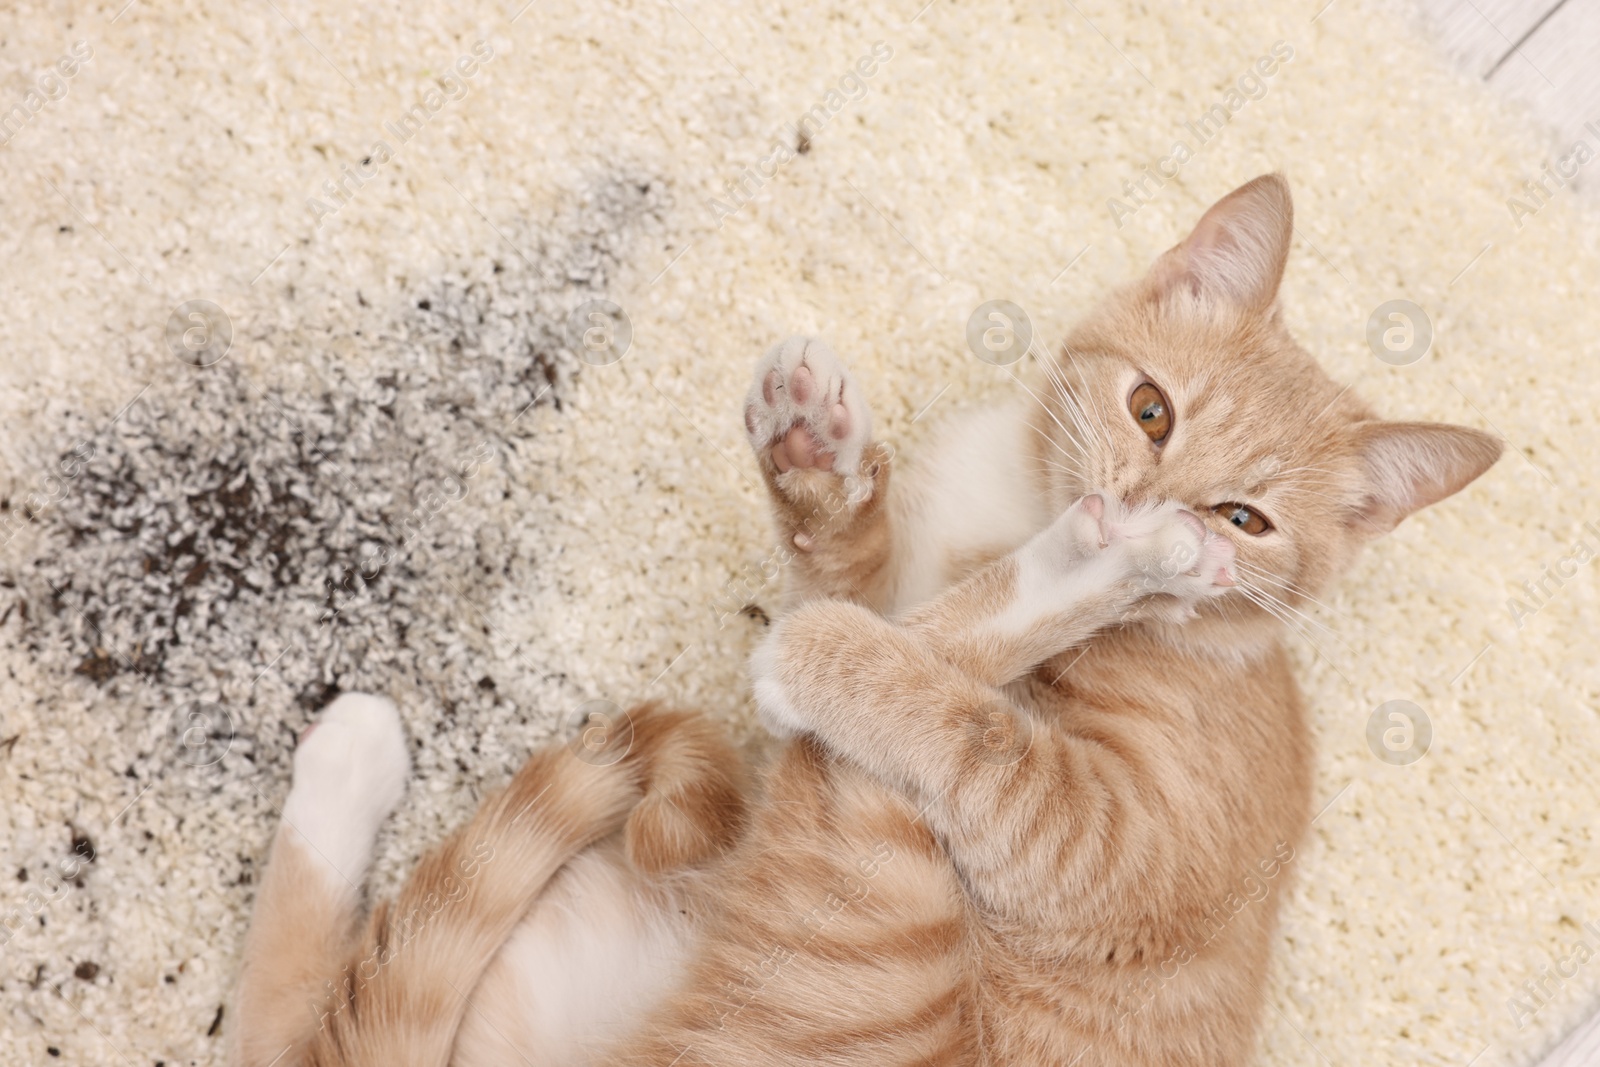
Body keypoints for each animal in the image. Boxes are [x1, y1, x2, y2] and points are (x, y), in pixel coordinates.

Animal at [228, 177, 1497, 1067]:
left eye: (1246, 517)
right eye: (1152, 409)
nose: (1157, 506)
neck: (1015, 507)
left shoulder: (1114, 840)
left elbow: (953, 710)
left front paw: (843, 648)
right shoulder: (896, 584)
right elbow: (850, 576)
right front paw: (817, 466)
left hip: (892, 920)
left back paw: (1115, 567)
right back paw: (348, 759)